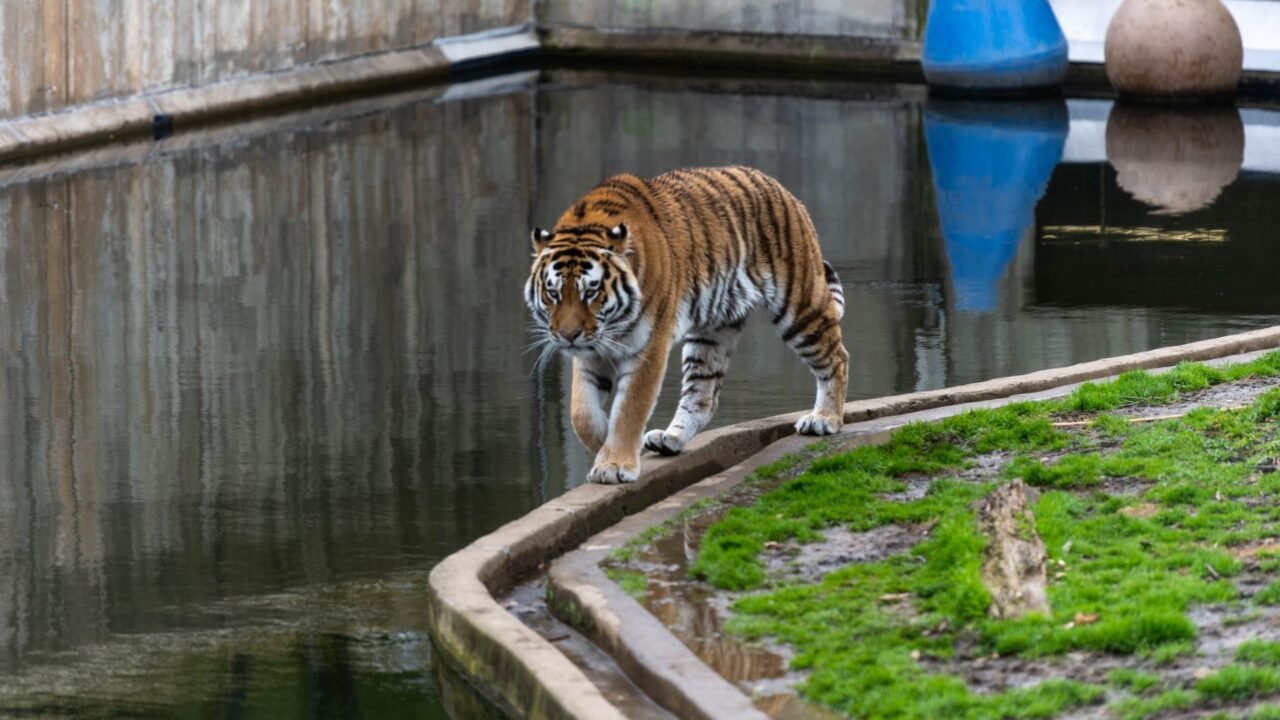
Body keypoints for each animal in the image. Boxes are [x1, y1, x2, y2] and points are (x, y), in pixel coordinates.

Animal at [525, 166, 848, 485]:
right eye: (553, 293)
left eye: (590, 292)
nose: (568, 336)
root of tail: (779, 187)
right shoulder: (591, 352)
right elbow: (581, 412)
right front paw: (607, 440)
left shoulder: (648, 347)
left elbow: (629, 408)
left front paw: (614, 464)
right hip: (711, 334)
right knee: (702, 395)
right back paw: (669, 439)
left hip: (799, 306)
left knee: (837, 357)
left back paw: (824, 419)